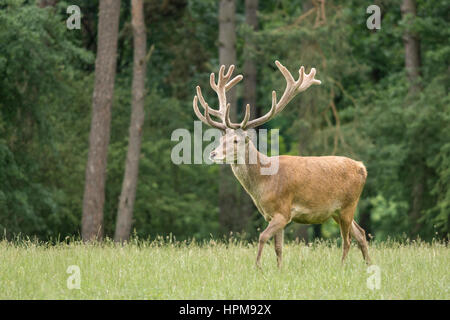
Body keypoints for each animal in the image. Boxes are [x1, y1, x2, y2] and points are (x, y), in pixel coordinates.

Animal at [192, 60, 370, 268]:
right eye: (221, 139)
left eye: (236, 140)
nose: (213, 153)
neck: (264, 182)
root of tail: (362, 168)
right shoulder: (272, 214)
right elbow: (278, 247)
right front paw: (279, 269)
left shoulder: (283, 211)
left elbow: (262, 237)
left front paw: (258, 267)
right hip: (337, 210)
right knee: (361, 233)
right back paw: (369, 264)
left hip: (348, 204)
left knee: (347, 239)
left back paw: (342, 266)